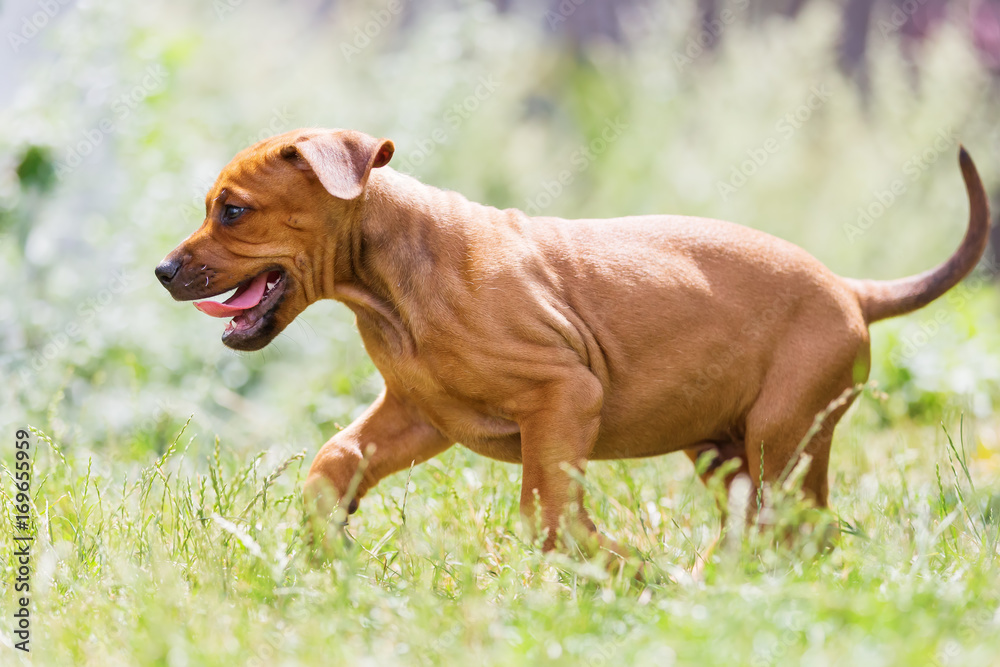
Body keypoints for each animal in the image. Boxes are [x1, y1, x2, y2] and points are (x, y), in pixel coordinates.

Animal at [156, 128, 992, 560]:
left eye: (232, 210)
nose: (163, 271)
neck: (391, 288)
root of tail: (850, 287)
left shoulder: (562, 397)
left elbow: (545, 507)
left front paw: (612, 564)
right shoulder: (419, 414)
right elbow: (334, 460)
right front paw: (329, 542)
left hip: (780, 435)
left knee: (791, 524)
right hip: (727, 449)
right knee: (787, 526)